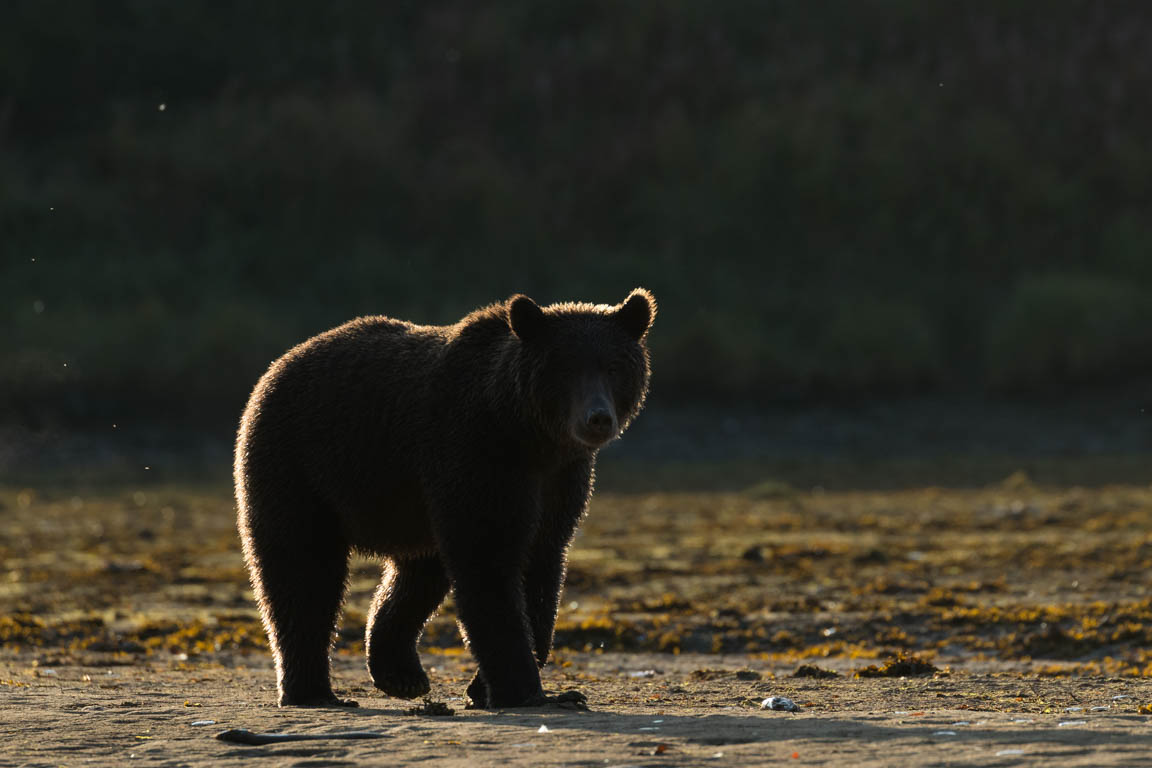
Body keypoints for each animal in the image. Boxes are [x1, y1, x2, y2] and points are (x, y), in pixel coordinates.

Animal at [233, 287, 658, 709]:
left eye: (613, 367)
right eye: (565, 368)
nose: (597, 418)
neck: (527, 434)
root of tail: (280, 363)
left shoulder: (560, 480)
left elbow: (541, 566)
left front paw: (488, 688)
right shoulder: (475, 454)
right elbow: (488, 561)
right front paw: (525, 691)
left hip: (409, 504)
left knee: (417, 574)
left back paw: (401, 674)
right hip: (301, 465)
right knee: (302, 570)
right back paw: (315, 691)